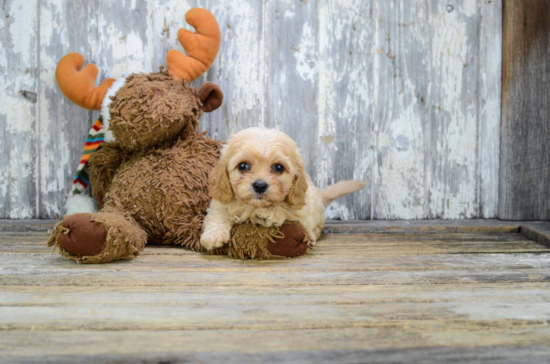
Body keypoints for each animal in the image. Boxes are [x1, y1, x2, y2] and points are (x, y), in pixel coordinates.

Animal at [202, 128, 366, 250]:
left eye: (279, 168)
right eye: (242, 166)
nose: (260, 185)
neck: (254, 206)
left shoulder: (301, 209)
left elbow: (285, 209)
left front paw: (267, 213)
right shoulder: (220, 200)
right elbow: (219, 214)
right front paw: (213, 235)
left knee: (316, 228)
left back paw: (310, 236)